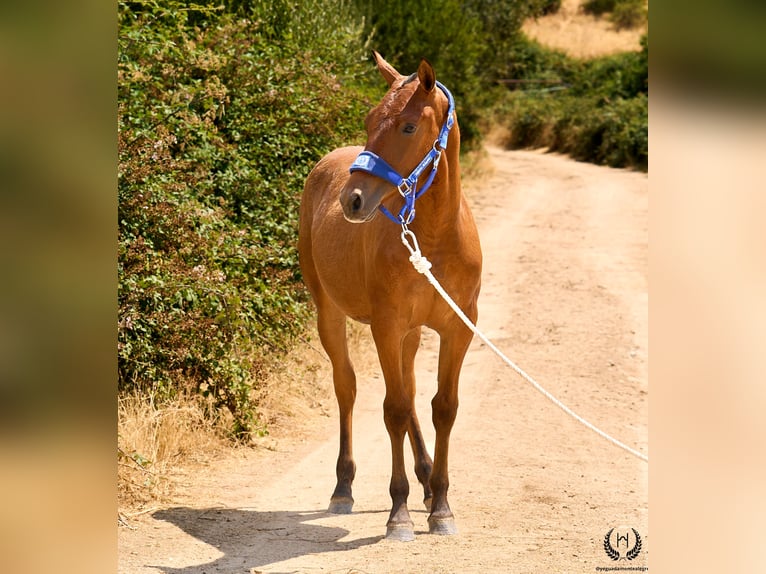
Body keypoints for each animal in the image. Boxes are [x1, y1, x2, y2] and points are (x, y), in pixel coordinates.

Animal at [298, 51, 482, 542]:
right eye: (368, 119)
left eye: (407, 126)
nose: (353, 200)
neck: (434, 238)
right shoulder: (387, 325)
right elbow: (394, 409)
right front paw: (398, 513)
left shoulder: (458, 328)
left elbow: (443, 408)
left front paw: (441, 506)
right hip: (330, 314)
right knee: (346, 388)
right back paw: (343, 487)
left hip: (412, 333)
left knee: (413, 390)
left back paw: (426, 480)